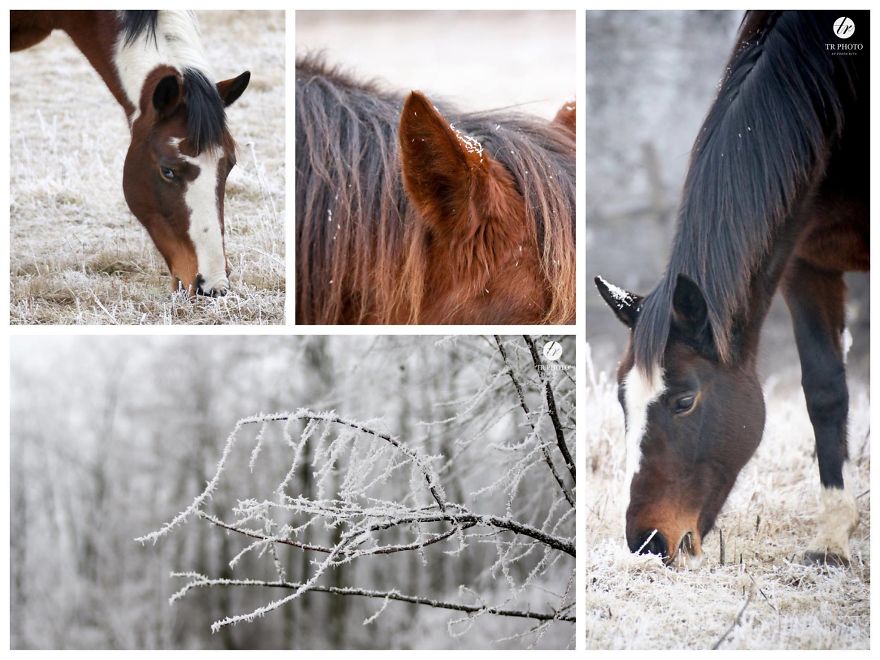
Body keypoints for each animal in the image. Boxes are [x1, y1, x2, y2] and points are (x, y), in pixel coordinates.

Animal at [595, 10, 868, 568]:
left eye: (684, 401)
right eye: (621, 398)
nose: (648, 543)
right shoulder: (803, 261)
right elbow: (825, 391)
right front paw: (833, 536)